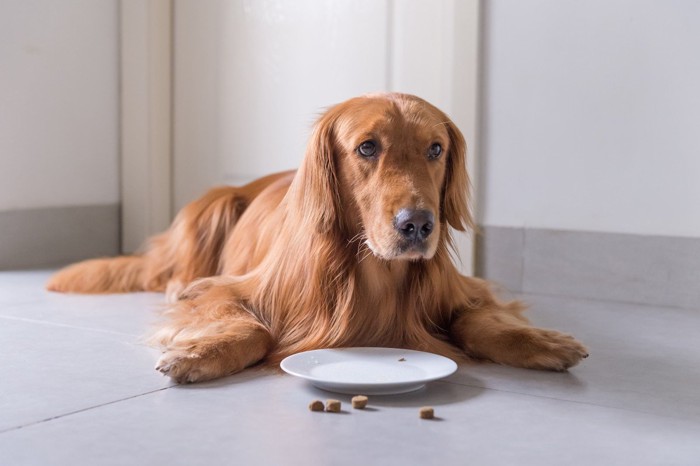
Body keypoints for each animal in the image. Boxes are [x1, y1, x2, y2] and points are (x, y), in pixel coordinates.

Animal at [46, 92, 588, 382]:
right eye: (367, 147)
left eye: (436, 149)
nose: (417, 224)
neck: (374, 271)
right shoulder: (228, 290)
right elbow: (254, 327)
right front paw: (201, 353)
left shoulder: (467, 291)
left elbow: (479, 319)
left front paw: (537, 339)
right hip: (215, 204)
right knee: (179, 271)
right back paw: (178, 284)